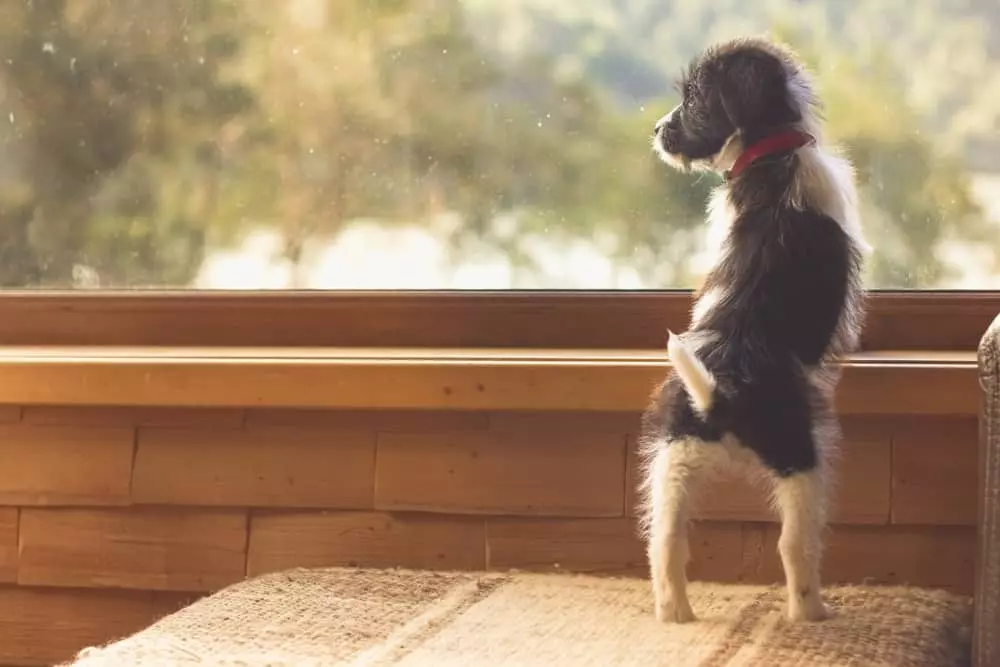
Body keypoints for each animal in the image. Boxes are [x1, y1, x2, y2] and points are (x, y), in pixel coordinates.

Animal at [640, 37, 868, 628]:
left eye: (692, 100)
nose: (657, 129)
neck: (770, 154)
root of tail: (723, 397)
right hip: (802, 463)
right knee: (795, 546)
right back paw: (812, 615)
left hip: (673, 461)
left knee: (665, 542)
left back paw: (674, 614)